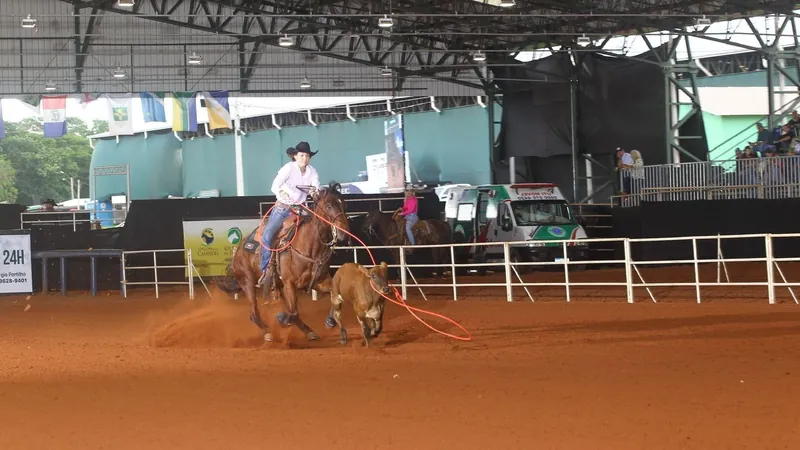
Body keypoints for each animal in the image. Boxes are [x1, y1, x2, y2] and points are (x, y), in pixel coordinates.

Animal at [217, 181, 348, 342]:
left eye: (344, 204)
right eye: (329, 205)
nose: (344, 233)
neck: (309, 245)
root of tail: (239, 249)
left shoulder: (319, 281)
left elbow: (337, 296)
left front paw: (330, 321)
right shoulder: (290, 282)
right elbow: (293, 313)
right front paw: (282, 319)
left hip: (279, 285)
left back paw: (309, 332)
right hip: (248, 282)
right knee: (254, 313)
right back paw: (268, 333)